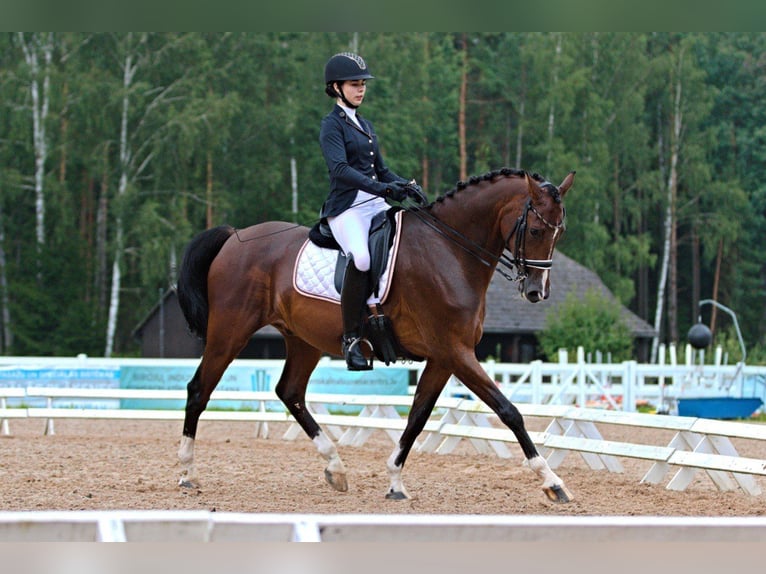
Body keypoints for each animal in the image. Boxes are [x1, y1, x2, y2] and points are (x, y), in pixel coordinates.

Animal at [176, 167, 576, 503]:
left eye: (560, 232)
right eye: (536, 230)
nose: (537, 292)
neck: (449, 251)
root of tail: (234, 238)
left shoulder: (443, 358)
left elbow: (417, 418)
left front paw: (395, 482)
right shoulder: (456, 351)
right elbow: (509, 411)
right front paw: (552, 481)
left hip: (303, 341)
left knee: (290, 392)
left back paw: (336, 468)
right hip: (230, 330)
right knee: (199, 390)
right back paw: (187, 473)